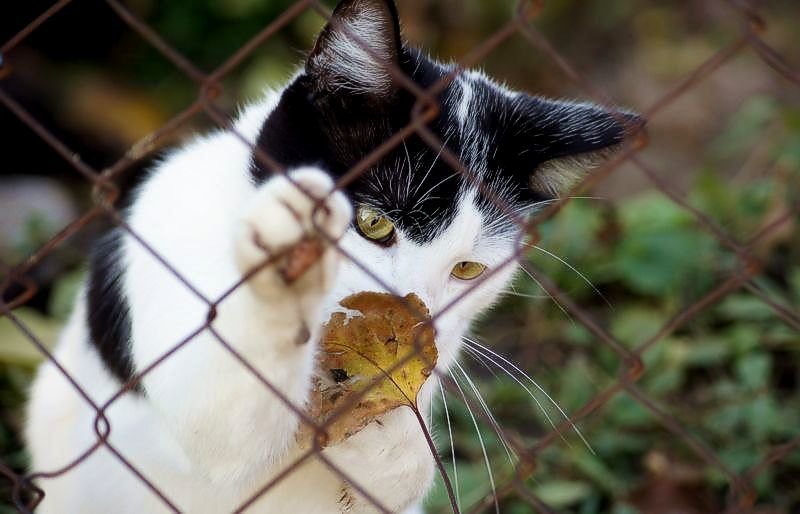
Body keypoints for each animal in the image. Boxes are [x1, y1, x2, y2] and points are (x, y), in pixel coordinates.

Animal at [21, 1, 640, 512]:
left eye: (468, 269)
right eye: (372, 223)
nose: (405, 321)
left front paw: (389, 427)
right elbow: (219, 428)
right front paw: (286, 266)